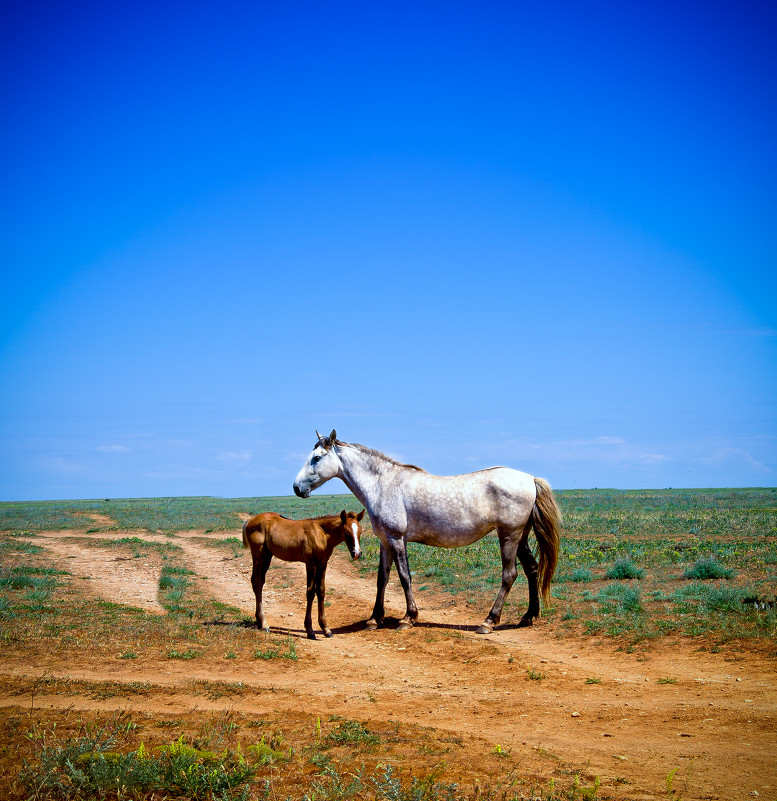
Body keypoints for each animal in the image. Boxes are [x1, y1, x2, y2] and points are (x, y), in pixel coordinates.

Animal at [294, 428, 560, 636]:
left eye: (316, 458)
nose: (296, 487)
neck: (382, 484)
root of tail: (530, 479)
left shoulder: (397, 539)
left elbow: (404, 577)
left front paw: (408, 618)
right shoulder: (385, 542)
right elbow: (382, 578)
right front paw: (374, 618)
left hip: (508, 536)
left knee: (509, 575)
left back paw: (489, 621)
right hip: (521, 537)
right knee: (532, 569)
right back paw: (528, 616)